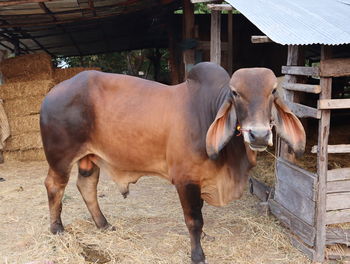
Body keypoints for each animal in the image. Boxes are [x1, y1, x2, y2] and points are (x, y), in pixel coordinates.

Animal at [39, 62, 304, 264]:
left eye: (273, 91)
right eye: (236, 93)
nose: (258, 135)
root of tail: (51, 93)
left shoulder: (200, 179)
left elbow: (200, 212)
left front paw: (205, 238)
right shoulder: (185, 179)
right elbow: (194, 219)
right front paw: (198, 255)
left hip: (88, 158)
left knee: (86, 185)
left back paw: (103, 224)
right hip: (60, 158)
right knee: (54, 186)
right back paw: (57, 229)